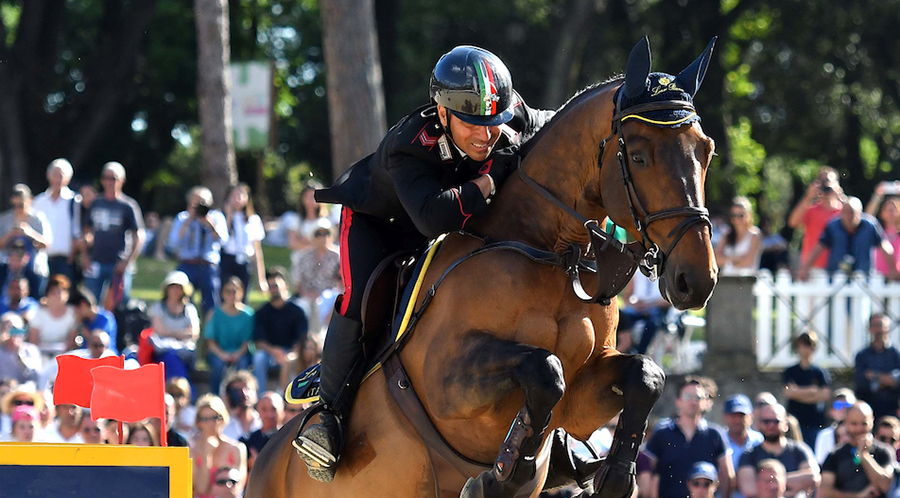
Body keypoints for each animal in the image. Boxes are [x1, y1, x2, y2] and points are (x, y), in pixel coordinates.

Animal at [244, 37, 716, 498]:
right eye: (637, 156)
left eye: (706, 151)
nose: (696, 280)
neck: (549, 250)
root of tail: (263, 460)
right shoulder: (446, 382)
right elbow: (545, 371)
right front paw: (502, 475)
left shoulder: (583, 394)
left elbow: (646, 375)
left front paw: (615, 476)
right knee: (353, 307)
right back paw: (321, 435)